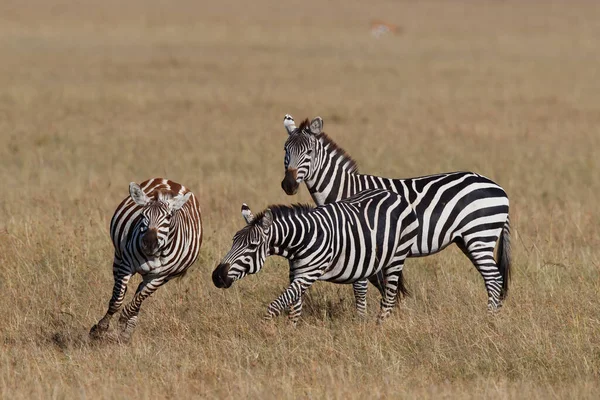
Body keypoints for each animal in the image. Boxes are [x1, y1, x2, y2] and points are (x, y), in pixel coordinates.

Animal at [88, 180, 202, 342]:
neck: (155, 254)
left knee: (139, 297)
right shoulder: (126, 265)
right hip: (118, 257)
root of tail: (172, 182)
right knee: (120, 291)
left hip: (158, 278)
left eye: (169, 217)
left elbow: (135, 303)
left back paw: (126, 333)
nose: (149, 243)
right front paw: (100, 328)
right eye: (142, 215)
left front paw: (122, 324)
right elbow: (117, 300)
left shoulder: (159, 277)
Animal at [213, 188, 420, 324]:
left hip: (396, 259)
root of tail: (394, 194)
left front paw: (266, 333)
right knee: (365, 294)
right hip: (368, 262)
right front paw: (289, 336)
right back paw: (361, 325)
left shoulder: (308, 274)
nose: (217, 276)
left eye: (252, 246)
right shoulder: (296, 274)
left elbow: (275, 305)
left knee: (389, 298)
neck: (301, 239)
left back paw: (379, 328)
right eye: (233, 241)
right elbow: (294, 309)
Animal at [280, 114, 510, 310]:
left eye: (309, 153)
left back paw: (490, 319)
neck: (347, 190)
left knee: (494, 279)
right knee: (493, 279)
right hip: (468, 240)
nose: (288, 185)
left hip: (479, 236)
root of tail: (498, 187)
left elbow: (370, 285)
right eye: (285, 150)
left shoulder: (365, 244)